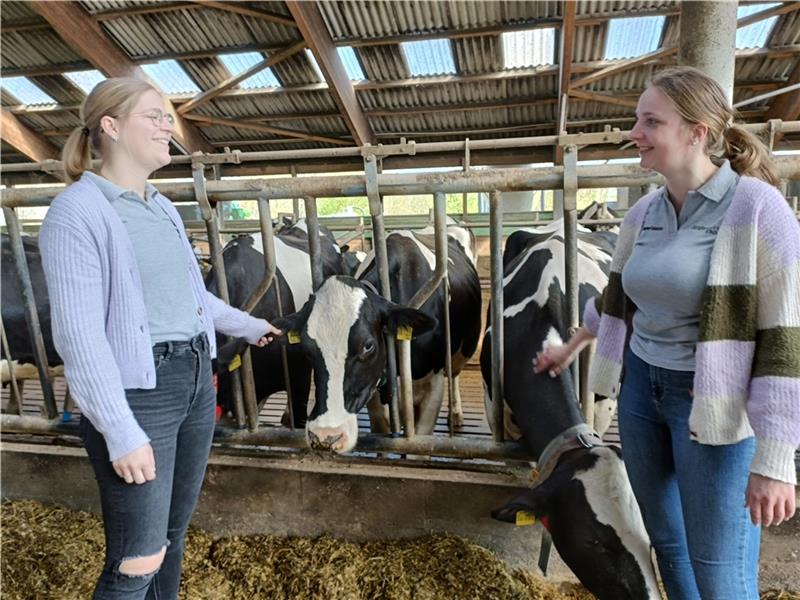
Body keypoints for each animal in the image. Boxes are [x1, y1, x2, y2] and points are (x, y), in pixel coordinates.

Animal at [274, 227, 482, 452]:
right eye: (306, 348)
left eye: (368, 346)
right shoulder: (373, 391)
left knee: (454, 374)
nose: (325, 435)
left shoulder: (433, 385)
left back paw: (456, 413)